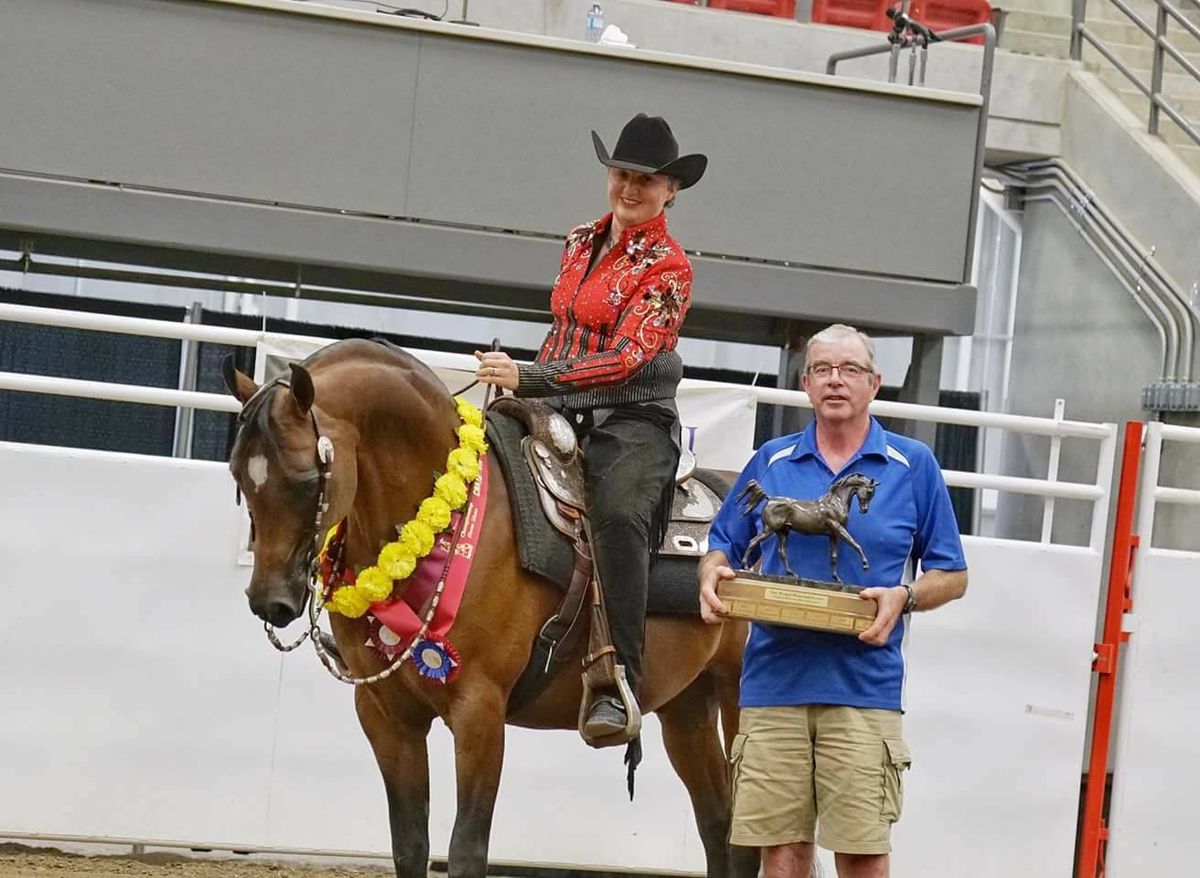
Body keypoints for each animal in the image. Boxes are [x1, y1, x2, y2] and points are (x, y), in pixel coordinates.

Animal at [220, 340, 753, 878]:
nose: (269, 599)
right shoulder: (385, 715)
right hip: (687, 708)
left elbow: (466, 848)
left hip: (740, 698)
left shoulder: (480, 711)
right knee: (717, 824)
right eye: (239, 475)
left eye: (307, 479)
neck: (451, 518)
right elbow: (409, 845)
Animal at [734, 472, 878, 582]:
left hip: (782, 532)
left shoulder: (833, 534)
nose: (864, 510)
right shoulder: (838, 529)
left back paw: (792, 574)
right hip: (769, 529)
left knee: (782, 552)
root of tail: (769, 499)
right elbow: (855, 544)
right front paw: (865, 565)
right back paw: (746, 568)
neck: (834, 503)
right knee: (753, 542)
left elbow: (834, 556)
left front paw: (837, 579)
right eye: (869, 492)